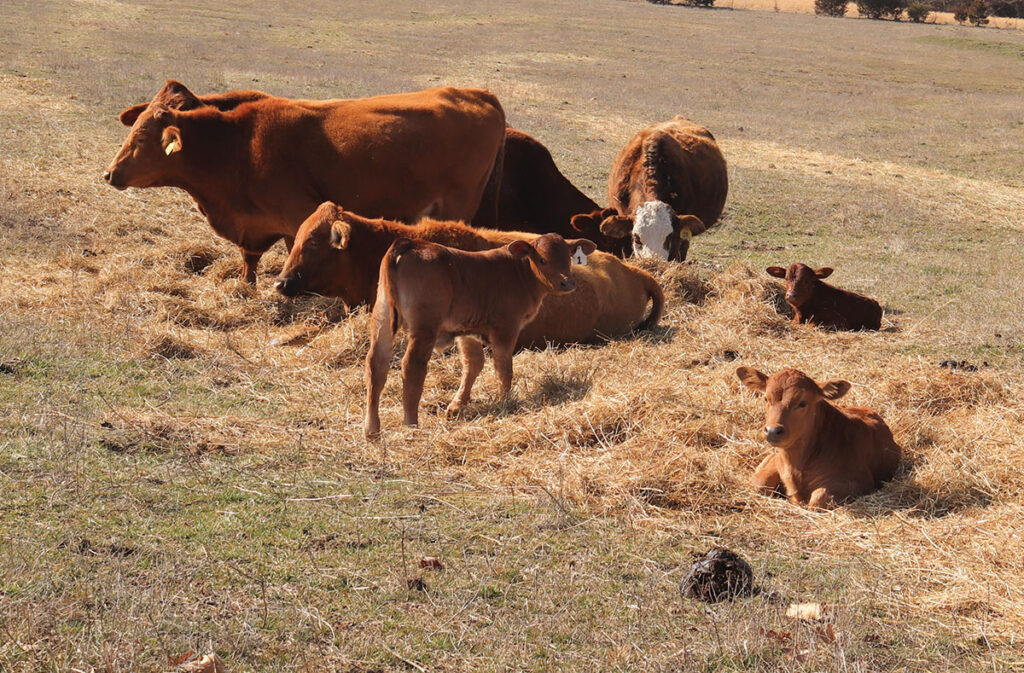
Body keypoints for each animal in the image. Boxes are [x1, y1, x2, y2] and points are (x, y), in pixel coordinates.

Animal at [101, 80, 505, 282]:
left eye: (142, 139)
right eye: (134, 130)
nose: (109, 173)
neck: (238, 143)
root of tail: (479, 94)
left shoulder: (299, 215)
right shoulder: (254, 225)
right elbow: (249, 261)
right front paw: (246, 287)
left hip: (457, 204)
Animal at [733, 366, 901, 510]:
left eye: (802, 403)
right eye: (766, 399)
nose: (772, 431)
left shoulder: (860, 481)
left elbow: (818, 499)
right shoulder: (775, 460)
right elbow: (759, 484)